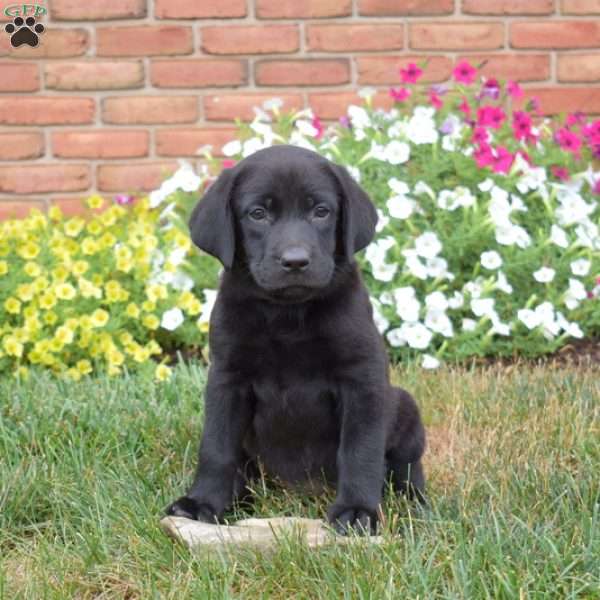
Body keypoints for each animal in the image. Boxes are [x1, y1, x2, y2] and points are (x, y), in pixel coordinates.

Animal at [166, 145, 424, 536]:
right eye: (258, 213)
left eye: (321, 211)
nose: (295, 261)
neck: (287, 314)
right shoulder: (227, 379)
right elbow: (216, 447)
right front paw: (203, 503)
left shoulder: (362, 378)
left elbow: (360, 449)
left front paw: (358, 511)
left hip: (405, 407)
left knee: (408, 469)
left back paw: (414, 503)